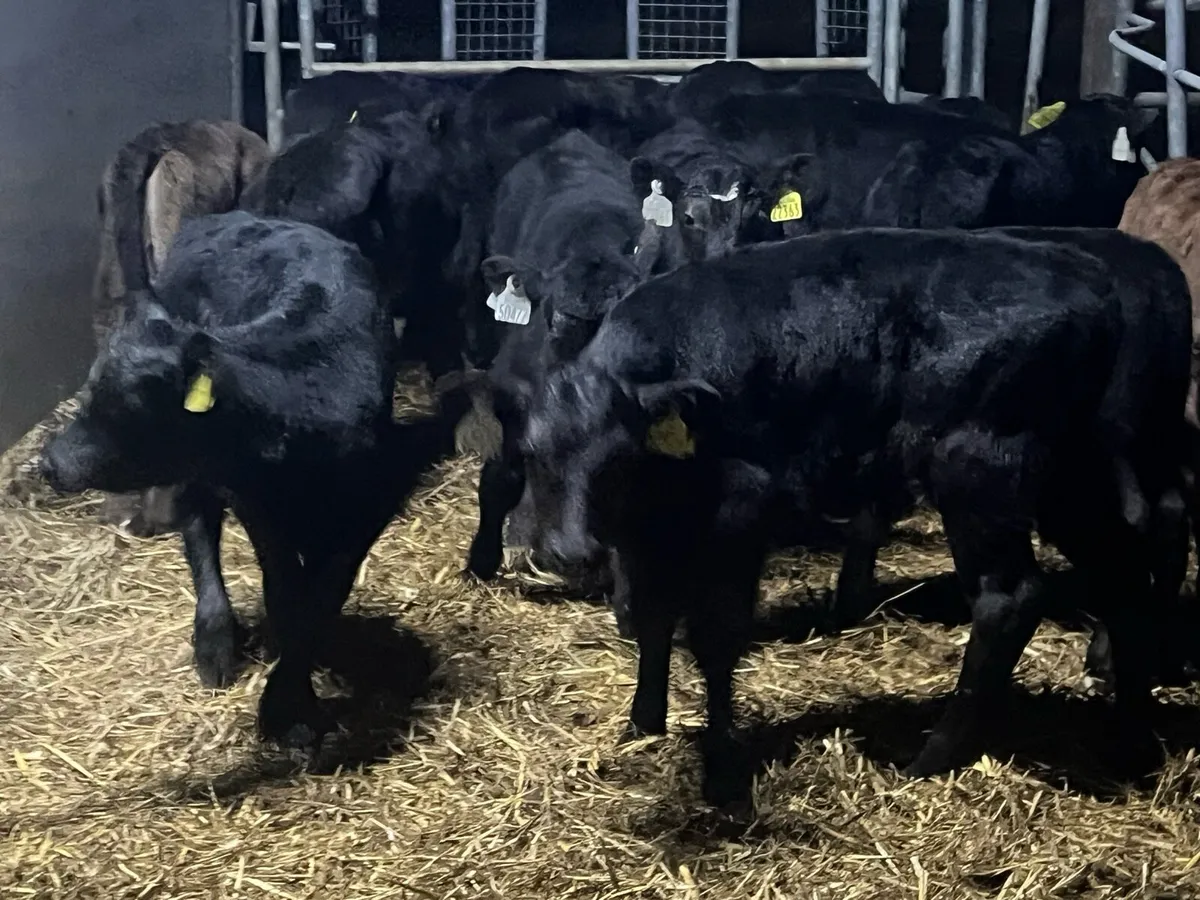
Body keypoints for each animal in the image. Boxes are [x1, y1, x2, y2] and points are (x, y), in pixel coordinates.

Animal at [40, 212, 467, 743]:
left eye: (125, 409)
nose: (50, 461)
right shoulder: (255, 503)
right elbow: (283, 587)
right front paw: (287, 700)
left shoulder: (365, 513)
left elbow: (323, 596)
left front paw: (292, 694)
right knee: (200, 526)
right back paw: (215, 643)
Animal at [512, 227, 1189, 806]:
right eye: (534, 453)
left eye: (618, 458)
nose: (568, 552)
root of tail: (1091, 277)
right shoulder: (648, 537)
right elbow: (652, 622)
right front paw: (642, 726)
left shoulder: (738, 517)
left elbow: (716, 636)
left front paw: (723, 756)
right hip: (1076, 473)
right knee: (1126, 569)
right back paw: (1131, 738)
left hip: (982, 468)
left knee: (1011, 596)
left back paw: (930, 758)